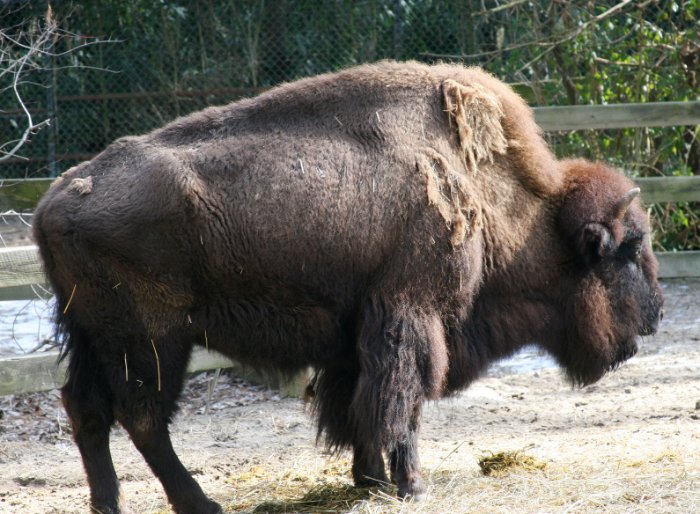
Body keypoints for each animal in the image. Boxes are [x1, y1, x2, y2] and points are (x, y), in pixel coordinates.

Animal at [32, 61, 664, 512]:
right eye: (630, 250)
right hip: (154, 339)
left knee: (86, 408)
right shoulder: (411, 313)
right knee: (143, 416)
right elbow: (403, 399)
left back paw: (108, 505)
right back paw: (200, 504)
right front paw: (411, 485)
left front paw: (370, 480)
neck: (509, 205)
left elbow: (358, 404)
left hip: (90, 334)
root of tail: (51, 202)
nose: (655, 316)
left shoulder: (354, 337)